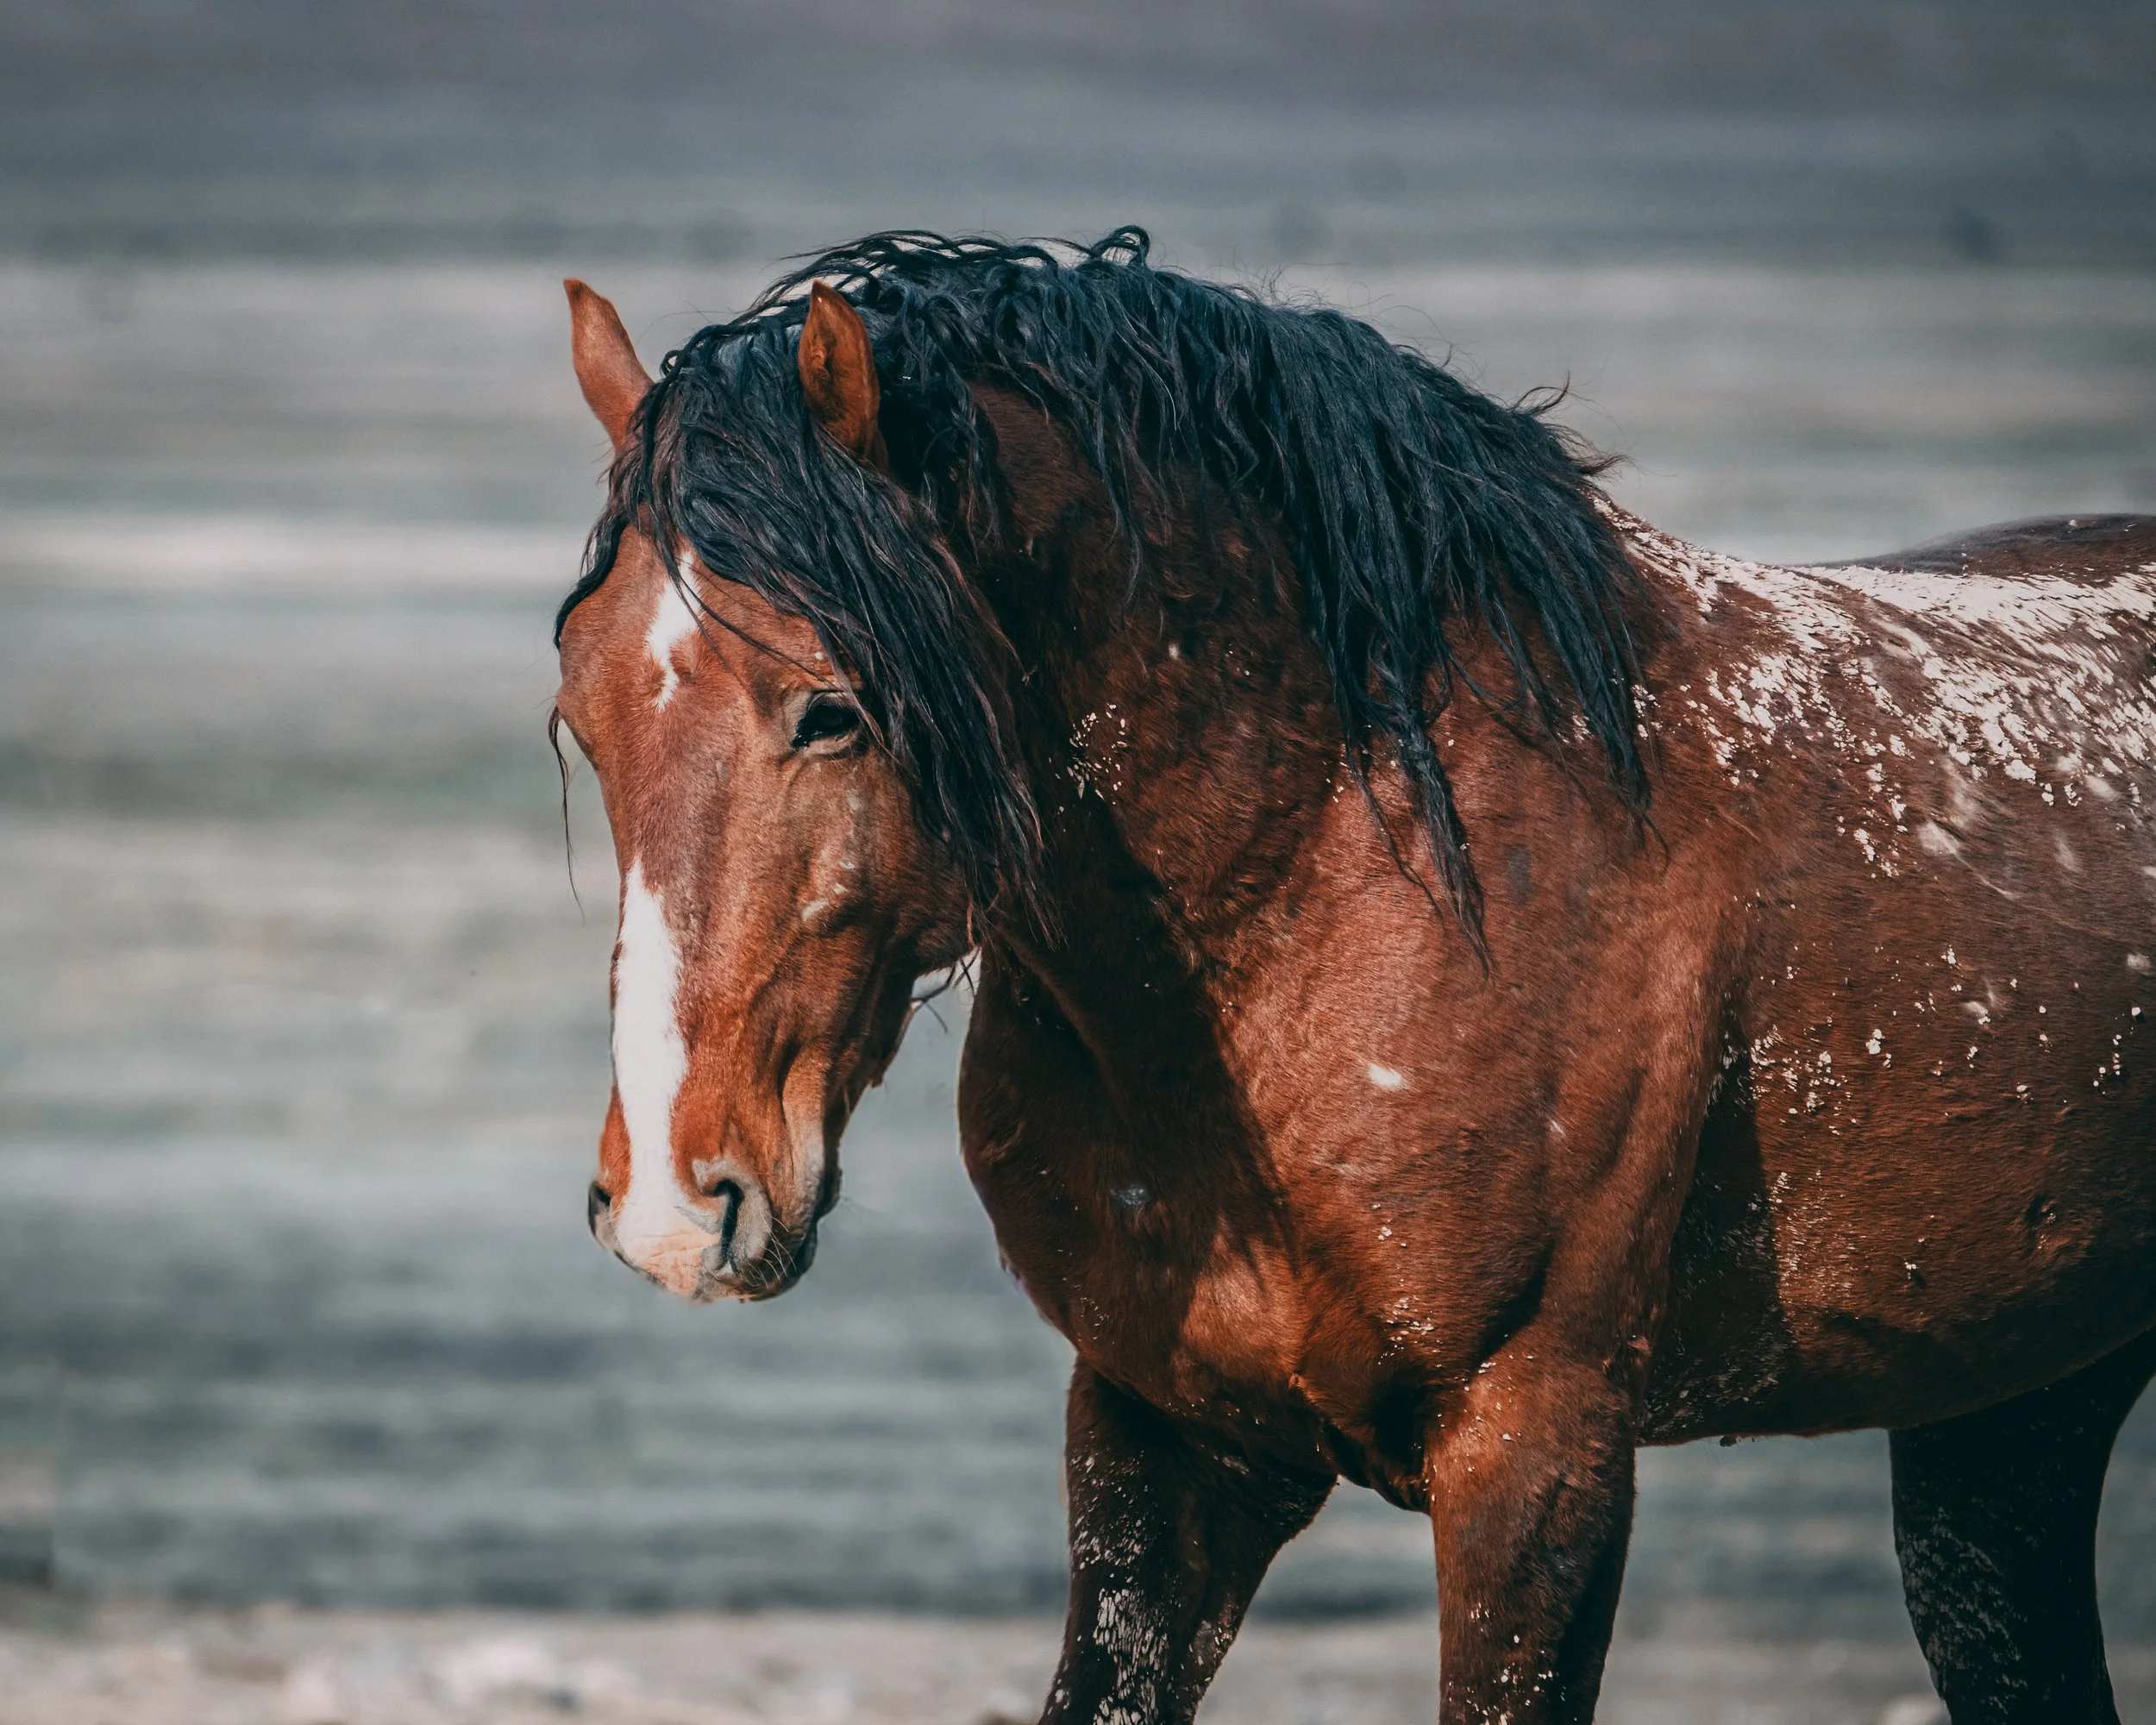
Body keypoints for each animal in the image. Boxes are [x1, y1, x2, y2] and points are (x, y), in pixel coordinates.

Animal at [550, 230, 2156, 1724]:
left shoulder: (1537, 1457)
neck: (1332, 879)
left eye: (831, 708)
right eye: (580, 706)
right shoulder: (1164, 1438)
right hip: (2007, 1417)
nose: (675, 1206)